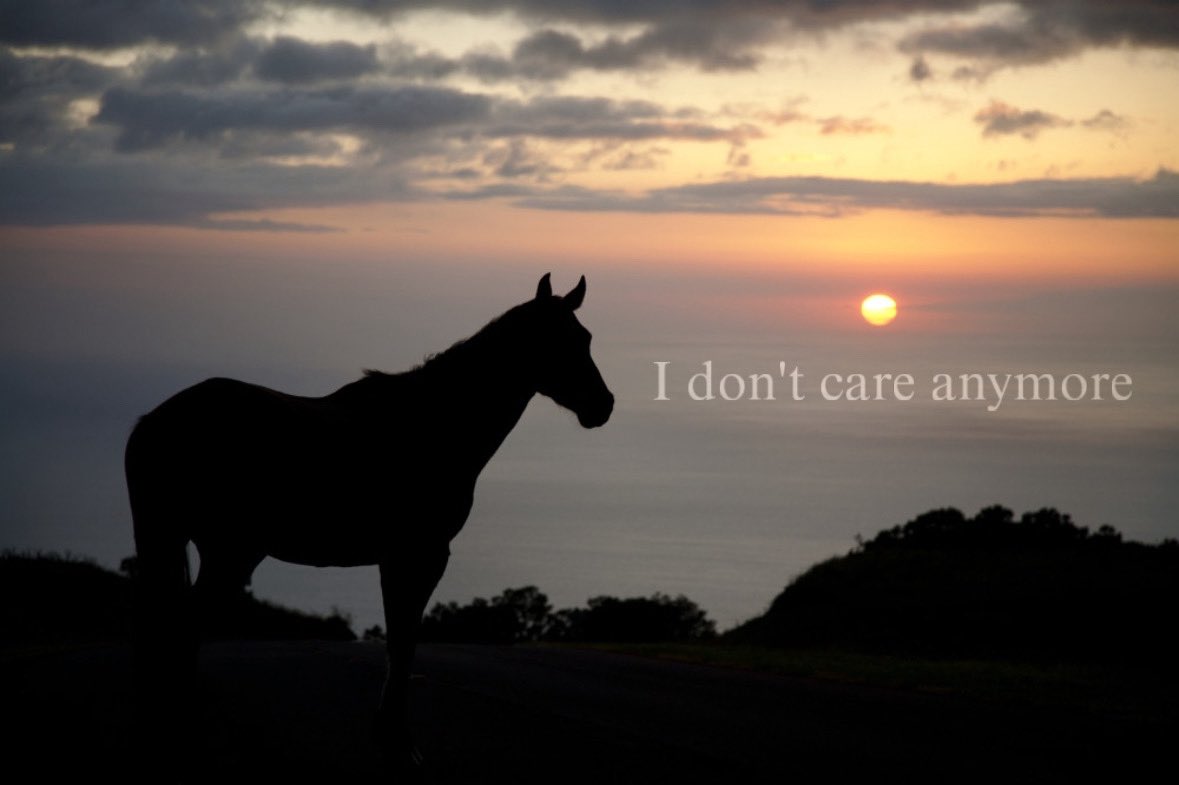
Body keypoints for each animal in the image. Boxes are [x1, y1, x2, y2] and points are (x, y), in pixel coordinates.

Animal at [125, 273, 613, 774]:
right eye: (560, 341)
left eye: (586, 338)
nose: (603, 405)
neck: (435, 422)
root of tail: (155, 422)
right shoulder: (420, 555)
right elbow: (403, 642)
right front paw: (398, 742)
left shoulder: (396, 558)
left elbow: (400, 640)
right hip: (229, 552)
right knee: (182, 626)